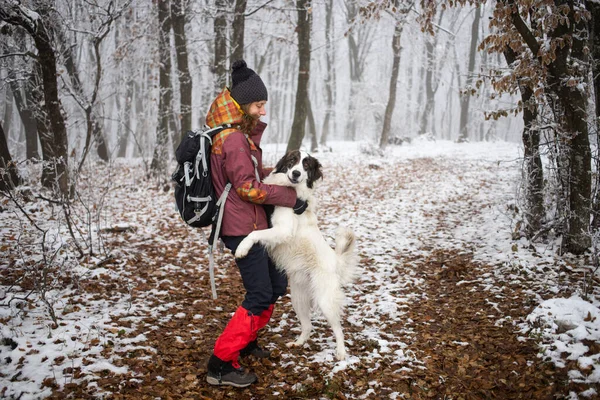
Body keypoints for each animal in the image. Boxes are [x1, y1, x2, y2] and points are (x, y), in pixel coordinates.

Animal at [233, 149, 356, 360]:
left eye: (306, 165)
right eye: (293, 160)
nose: (297, 173)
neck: (292, 188)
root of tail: (335, 260)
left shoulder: (282, 230)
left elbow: (254, 233)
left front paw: (242, 247)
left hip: (325, 300)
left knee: (338, 328)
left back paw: (341, 352)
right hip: (298, 299)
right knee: (307, 326)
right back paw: (298, 343)